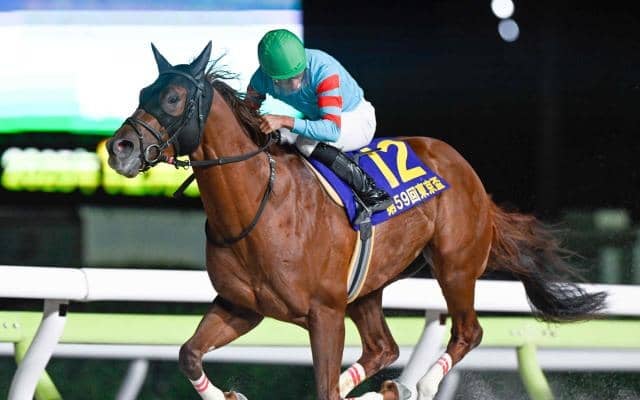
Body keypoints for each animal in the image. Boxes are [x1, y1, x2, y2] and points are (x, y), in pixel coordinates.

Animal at [106, 42, 606, 400]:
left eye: (173, 98)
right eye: (142, 93)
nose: (120, 149)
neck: (258, 208)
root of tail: (465, 170)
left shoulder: (324, 313)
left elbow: (323, 387)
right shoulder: (241, 307)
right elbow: (189, 354)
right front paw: (229, 396)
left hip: (455, 266)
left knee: (468, 331)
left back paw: (418, 385)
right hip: (370, 284)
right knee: (384, 346)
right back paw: (382, 390)